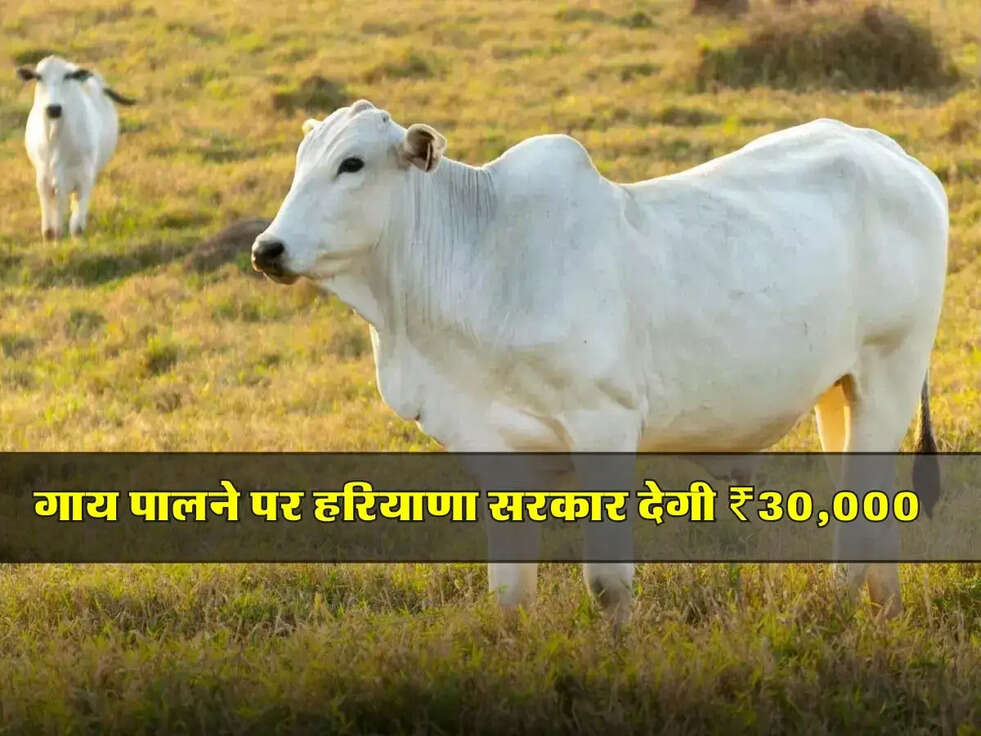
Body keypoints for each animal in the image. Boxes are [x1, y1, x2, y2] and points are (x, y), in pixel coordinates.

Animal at [16, 55, 136, 240]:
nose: (54, 108)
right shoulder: (43, 177)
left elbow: (77, 226)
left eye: (67, 76)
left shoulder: (84, 177)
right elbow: (49, 229)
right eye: (38, 77)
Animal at [252, 99, 947, 624]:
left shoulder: (605, 425)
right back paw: (883, 612)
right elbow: (509, 592)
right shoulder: (495, 450)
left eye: (352, 163)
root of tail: (888, 151)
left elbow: (608, 585)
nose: (267, 248)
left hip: (891, 371)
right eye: (301, 164)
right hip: (839, 392)